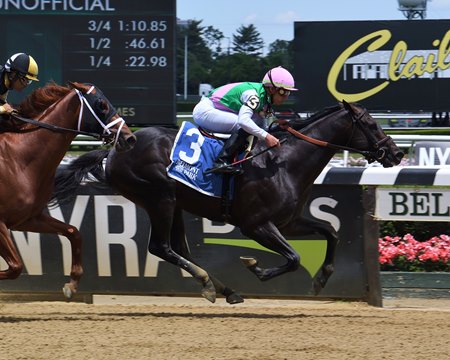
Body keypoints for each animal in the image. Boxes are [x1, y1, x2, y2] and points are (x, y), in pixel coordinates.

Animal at [0, 81, 137, 298]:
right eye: (102, 105)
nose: (129, 138)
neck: (19, 159)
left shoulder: (27, 219)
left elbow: (74, 232)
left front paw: (71, 284)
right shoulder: (1, 223)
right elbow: (15, 267)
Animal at [52, 100, 404, 304]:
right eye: (371, 124)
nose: (397, 153)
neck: (283, 163)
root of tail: (113, 151)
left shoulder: (289, 221)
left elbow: (331, 232)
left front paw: (321, 279)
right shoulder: (256, 225)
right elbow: (293, 258)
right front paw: (255, 267)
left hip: (174, 203)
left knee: (179, 248)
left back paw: (222, 288)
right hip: (159, 197)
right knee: (161, 247)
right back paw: (211, 284)